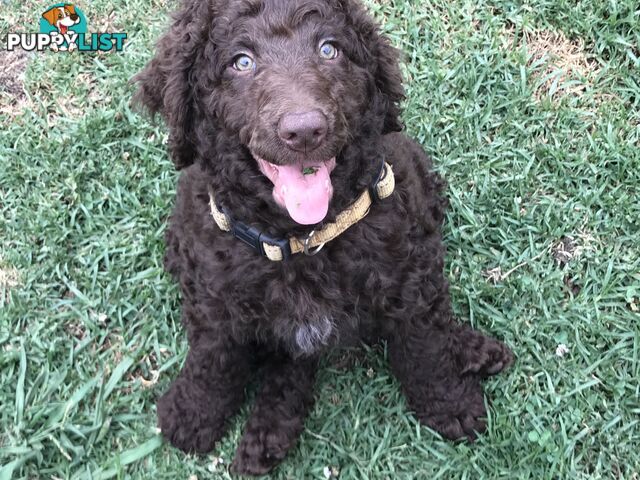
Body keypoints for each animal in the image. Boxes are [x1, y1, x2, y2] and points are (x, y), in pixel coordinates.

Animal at [132, 0, 512, 472]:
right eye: (241, 62)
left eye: (329, 49)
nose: (305, 131)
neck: (303, 240)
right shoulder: (213, 297)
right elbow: (212, 358)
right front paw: (193, 412)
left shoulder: (408, 278)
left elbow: (425, 345)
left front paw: (450, 402)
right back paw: (268, 434)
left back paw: (473, 349)